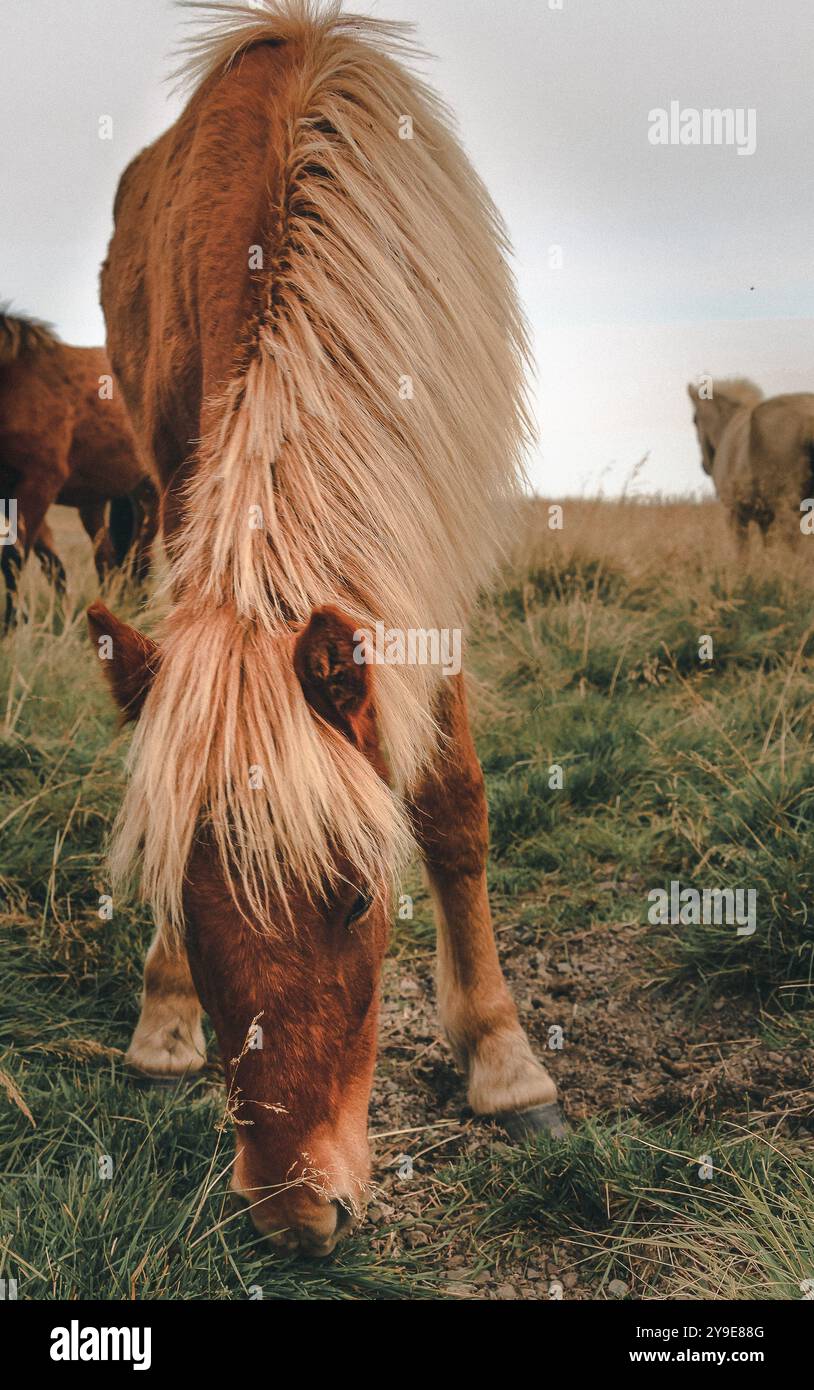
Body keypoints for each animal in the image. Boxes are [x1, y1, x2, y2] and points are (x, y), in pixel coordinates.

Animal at [87, 2, 558, 1262]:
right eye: (183, 904)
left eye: (355, 899)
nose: (298, 1216)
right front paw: (167, 1005)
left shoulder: (428, 551)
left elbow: (451, 803)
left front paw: (503, 1059)